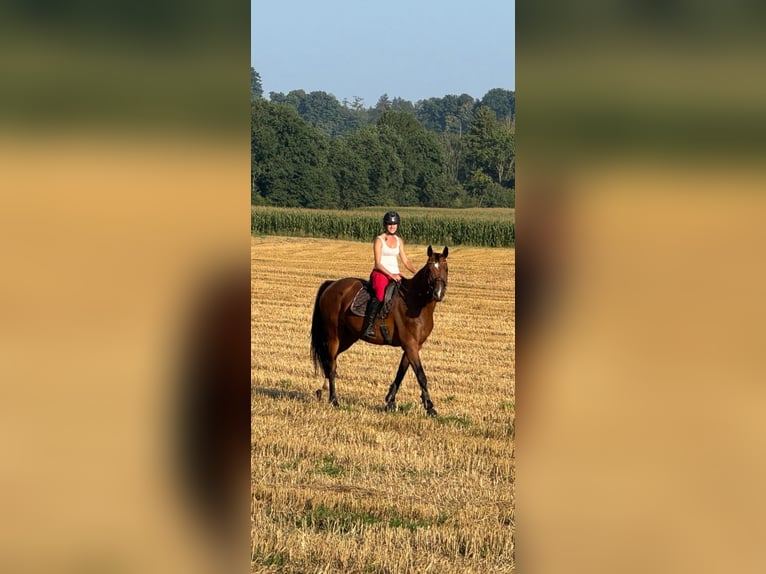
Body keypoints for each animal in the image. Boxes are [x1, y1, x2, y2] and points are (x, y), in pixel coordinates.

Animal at [311, 245, 449, 416]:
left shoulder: (414, 346)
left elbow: (401, 373)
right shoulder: (410, 345)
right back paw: (334, 399)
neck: (416, 302)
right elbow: (421, 375)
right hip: (333, 336)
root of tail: (332, 285)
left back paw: (323, 391)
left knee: (331, 361)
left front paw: (390, 401)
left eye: (446, 269)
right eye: (429, 270)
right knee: (331, 365)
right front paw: (430, 407)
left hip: (347, 338)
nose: (438, 293)